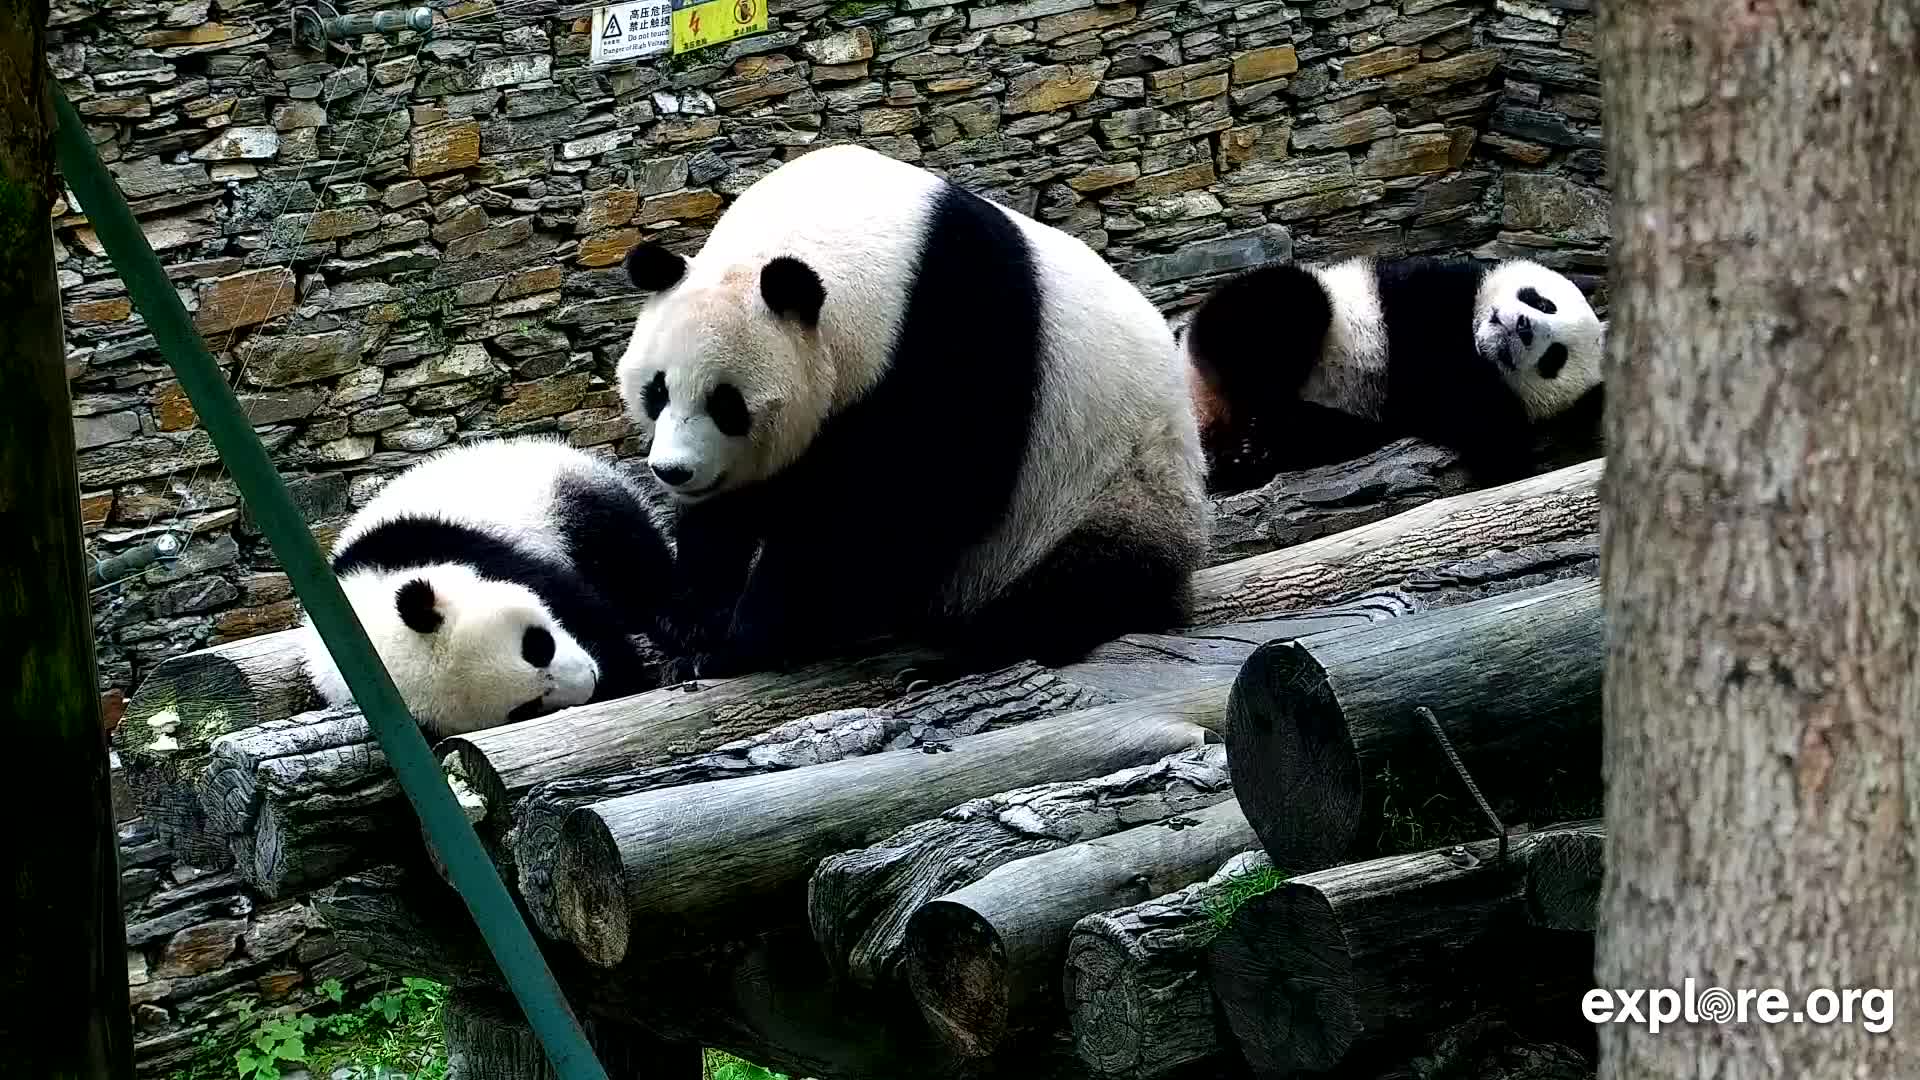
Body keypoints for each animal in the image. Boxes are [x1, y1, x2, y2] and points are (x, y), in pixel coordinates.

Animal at [295, 435, 675, 738]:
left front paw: (626, 671)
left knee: (632, 562)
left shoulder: (459, 548)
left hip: (561, 499)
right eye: (524, 709)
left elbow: (577, 603)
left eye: (537, 646)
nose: (590, 679)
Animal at [613, 143, 1211, 680]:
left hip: (1106, 486)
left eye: (728, 405)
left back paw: (970, 648)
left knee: (1078, 585)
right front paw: (688, 622)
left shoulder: (949, 342)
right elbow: (736, 510)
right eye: (656, 391)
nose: (673, 471)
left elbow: (898, 507)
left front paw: (741, 643)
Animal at [1180, 254, 1607, 494]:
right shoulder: (1427, 291)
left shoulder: (1413, 405)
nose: (1523, 326)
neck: (1475, 344)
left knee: (1327, 434)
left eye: (1554, 358)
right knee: (1277, 303)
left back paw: (1253, 448)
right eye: (1542, 302)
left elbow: (1484, 429)